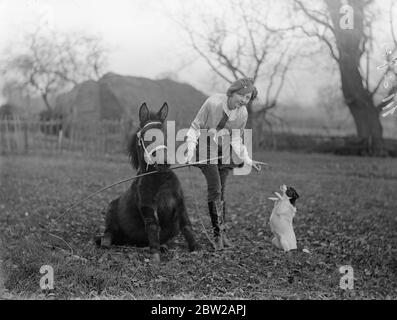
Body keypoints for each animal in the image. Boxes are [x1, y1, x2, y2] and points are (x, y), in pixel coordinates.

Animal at [94, 102, 200, 262]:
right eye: (146, 136)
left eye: (166, 134)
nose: (164, 163)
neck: (160, 180)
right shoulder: (148, 207)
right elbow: (153, 226)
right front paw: (155, 256)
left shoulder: (180, 204)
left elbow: (186, 225)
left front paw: (196, 249)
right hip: (110, 211)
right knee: (107, 234)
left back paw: (162, 246)